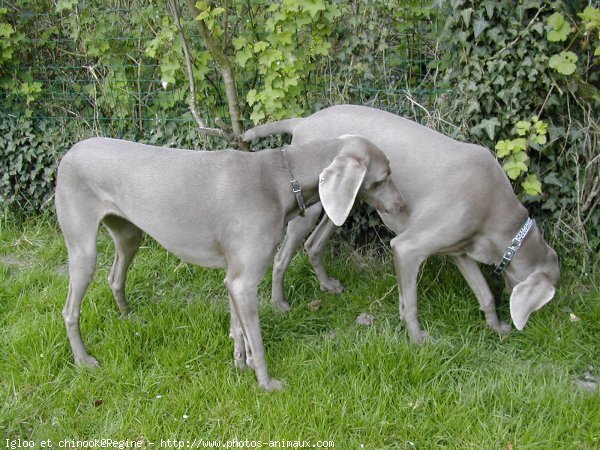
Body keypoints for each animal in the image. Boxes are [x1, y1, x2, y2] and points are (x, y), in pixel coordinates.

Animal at [56, 134, 406, 390]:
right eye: (385, 176)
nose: (403, 205)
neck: (283, 176)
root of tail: (71, 151)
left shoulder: (234, 277)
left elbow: (239, 329)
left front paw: (239, 363)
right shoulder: (244, 281)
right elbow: (258, 341)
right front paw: (266, 383)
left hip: (129, 235)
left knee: (114, 277)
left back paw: (129, 316)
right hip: (83, 250)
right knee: (70, 311)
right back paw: (84, 360)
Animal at [241, 105, 560, 342]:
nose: (542, 320)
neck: (496, 211)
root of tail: (304, 120)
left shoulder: (460, 251)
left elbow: (485, 294)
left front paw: (496, 327)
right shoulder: (408, 248)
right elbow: (411, 303)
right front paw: (418, 339)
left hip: (342, 202)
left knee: (313, 244)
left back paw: (327, 285)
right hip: (310, 206)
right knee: (282, 256)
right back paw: (279, 303)